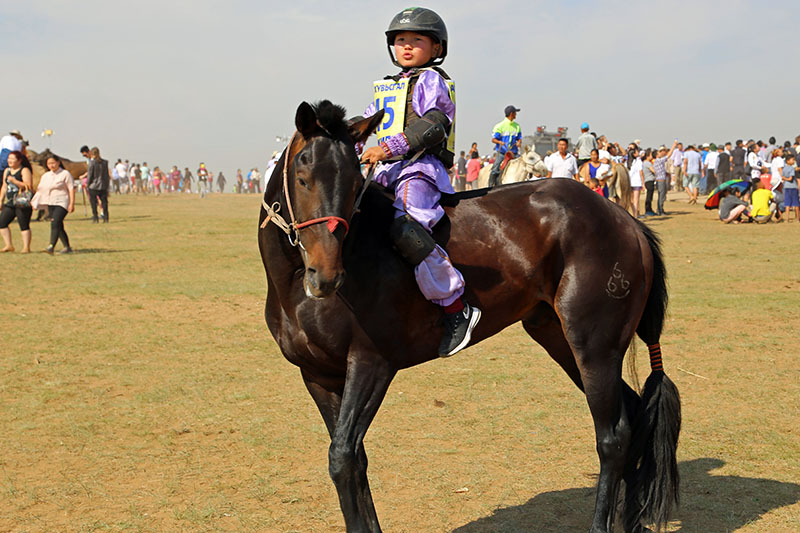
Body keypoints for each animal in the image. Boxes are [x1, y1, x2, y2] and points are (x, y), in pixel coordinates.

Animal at [258, 100, 681, 533]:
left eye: (354, 182)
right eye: (303, 178)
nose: (326, 275)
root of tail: (624, 219)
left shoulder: (370, 364)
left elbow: (342, 457)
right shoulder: (318, 376)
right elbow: (354, 458)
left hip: (594, 346)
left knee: (613, 437)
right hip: (561, 340)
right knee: (632, 415)